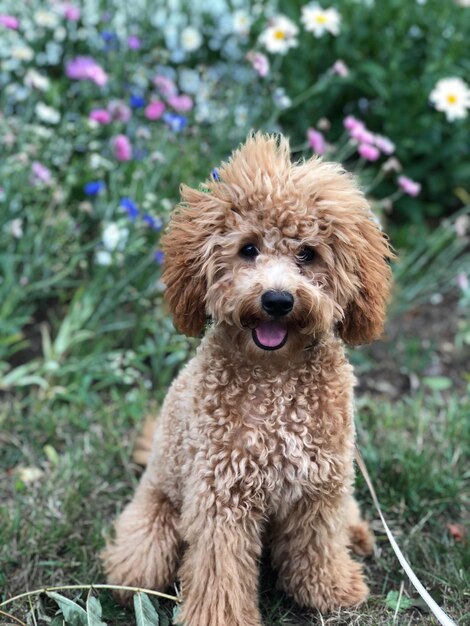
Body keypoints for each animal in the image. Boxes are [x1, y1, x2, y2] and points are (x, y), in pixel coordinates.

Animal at [103, 133, 392, 624]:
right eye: (249, 249)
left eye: (307, 253)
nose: (277, 300)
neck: (276, 379)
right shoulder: (221, 496)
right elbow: (220, 571)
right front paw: (218, 618)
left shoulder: (320, 487)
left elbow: (318, 545)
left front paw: (330, 589)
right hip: (157, 514)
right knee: (140, 564)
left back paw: (356, 533)